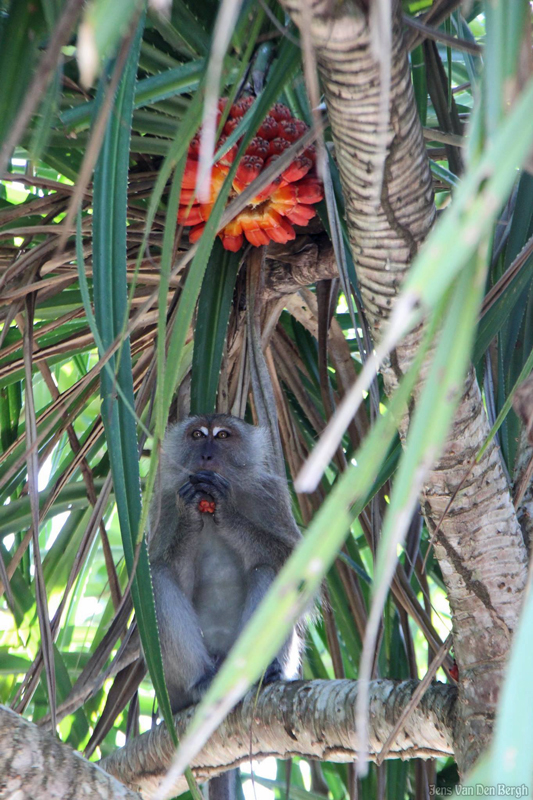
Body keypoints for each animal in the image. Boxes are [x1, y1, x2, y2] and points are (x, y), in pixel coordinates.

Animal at [148, 416, 304, 796]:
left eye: (222, 436)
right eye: (196, 435)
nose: (206, 454)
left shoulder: (270, 494)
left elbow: (295, 561)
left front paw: (228, 511)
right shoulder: (163, 503)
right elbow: (162, 568)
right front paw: (190, 516)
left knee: (270, 571)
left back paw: (263, 673)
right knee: (158, 579)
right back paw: (200, 684)